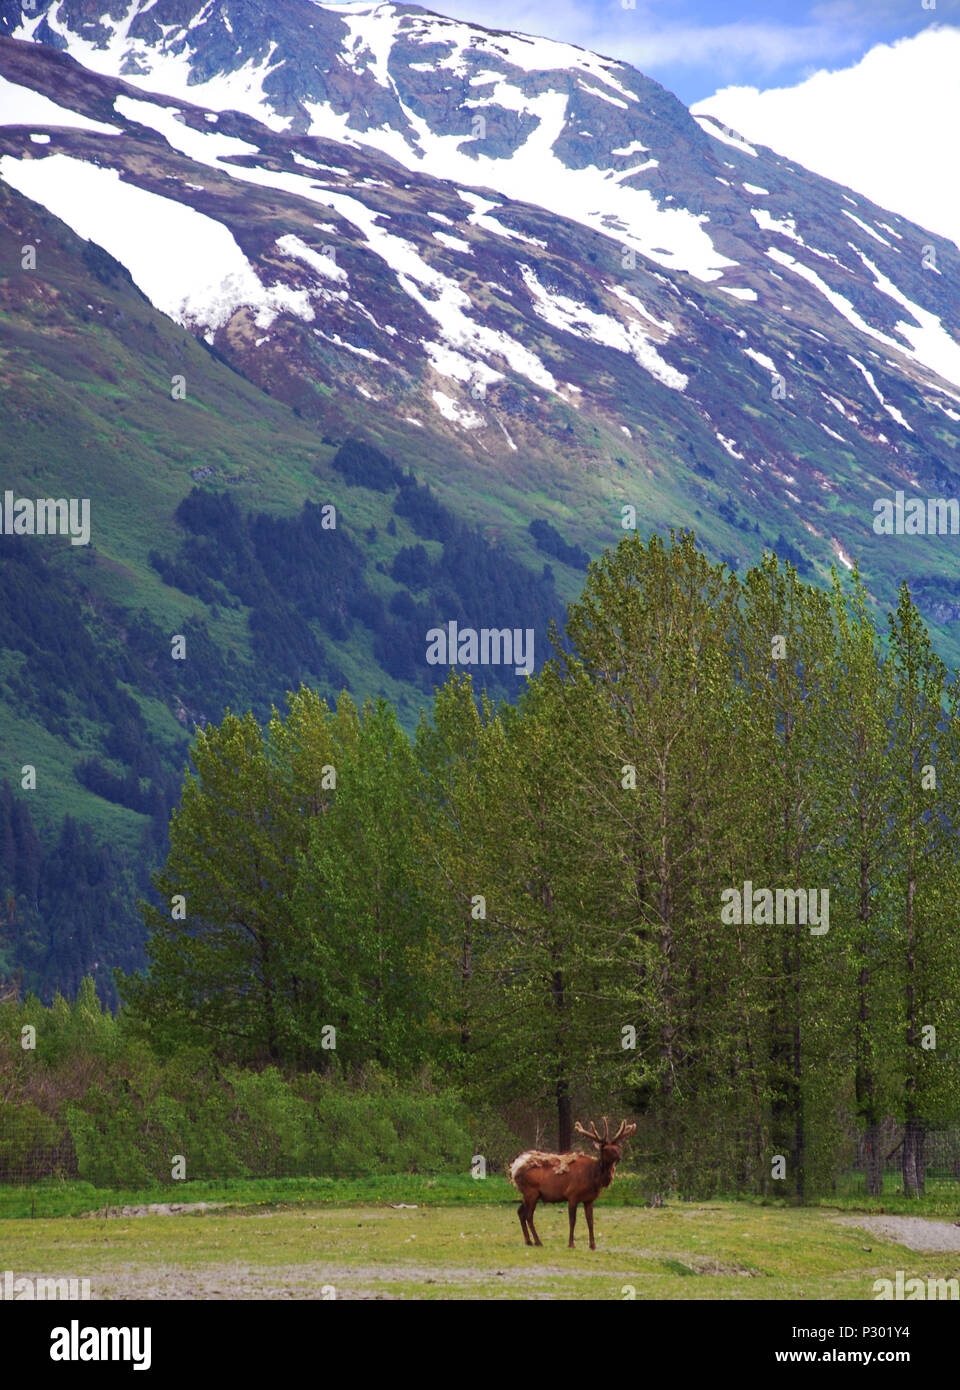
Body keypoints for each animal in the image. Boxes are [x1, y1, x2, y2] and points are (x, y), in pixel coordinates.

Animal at [511, 1117, 639, 1251]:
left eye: (617, 1147)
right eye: (606, 1148)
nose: (620, 1156)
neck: (593, 1177)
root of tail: (515, 1167)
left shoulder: (589, 1199)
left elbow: (590, 1221)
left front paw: (593, 1245)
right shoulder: (572, 1195)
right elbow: (572, 1220)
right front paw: (571, 1244)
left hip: (527, 1195)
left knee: (520, 1212)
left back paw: (528, 1241)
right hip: (531, 1192)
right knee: (529, 1216)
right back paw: (538, 1241)